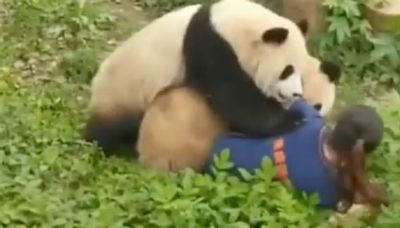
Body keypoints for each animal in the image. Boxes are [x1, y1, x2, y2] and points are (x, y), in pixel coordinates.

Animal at [84, 0, 310, 158]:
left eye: (301, 73)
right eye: (287, 71)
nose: (296, 94)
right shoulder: (210, 46)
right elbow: (234, 99)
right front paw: (294, 119)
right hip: (124, 91)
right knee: (109, 128)